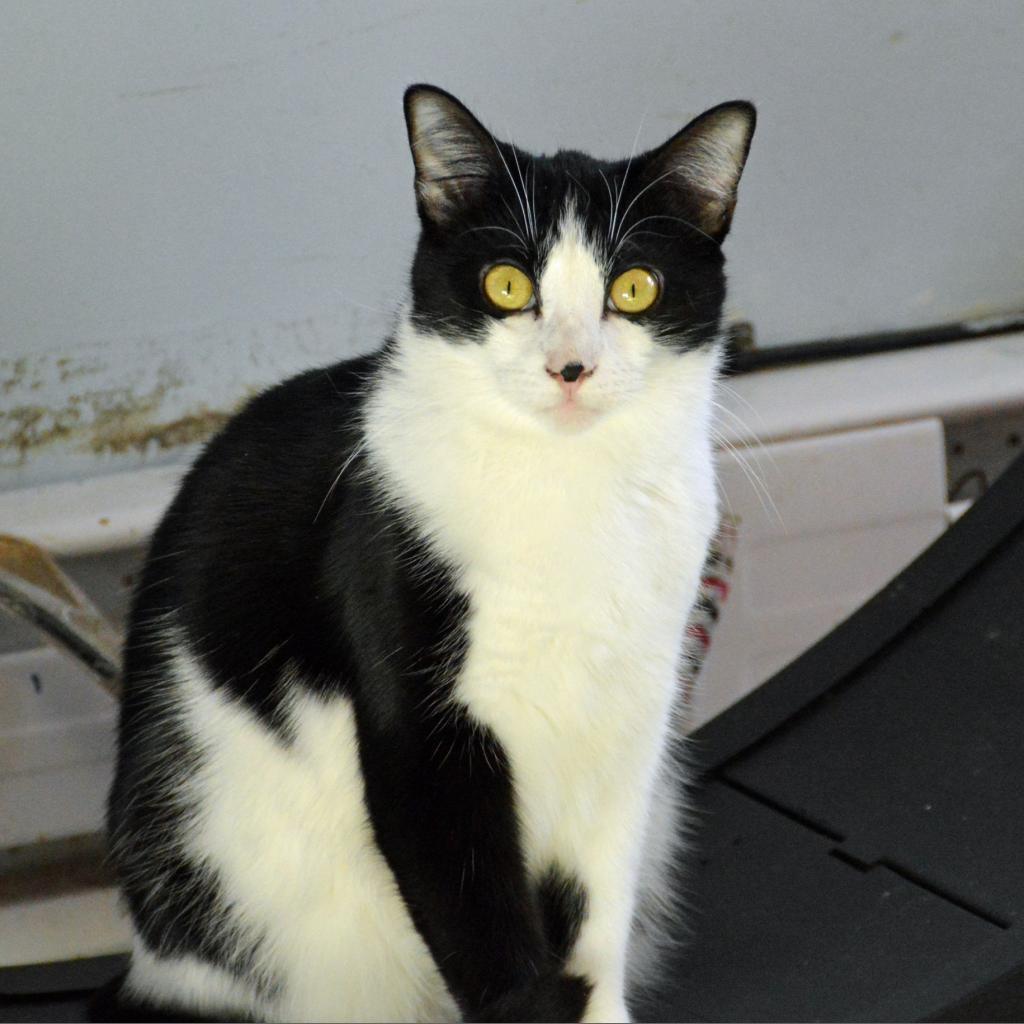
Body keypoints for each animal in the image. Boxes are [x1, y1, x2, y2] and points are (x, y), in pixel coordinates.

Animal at [103, 88, 757, 1024]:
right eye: (508, 284)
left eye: (634, 288)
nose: (570, 368)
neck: (564, 491)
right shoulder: (421, 731)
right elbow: (481, 920)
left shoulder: (631, 721)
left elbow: (599, 909)